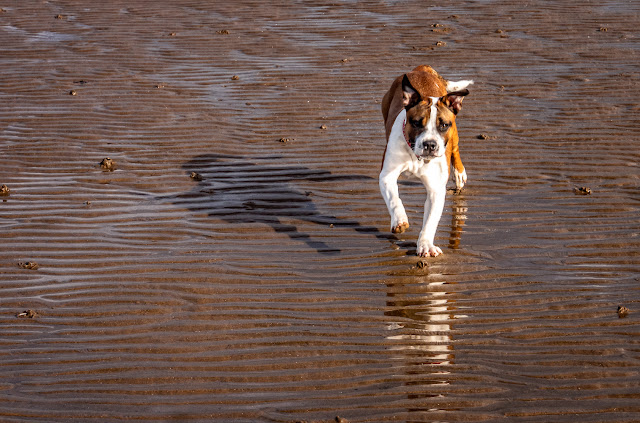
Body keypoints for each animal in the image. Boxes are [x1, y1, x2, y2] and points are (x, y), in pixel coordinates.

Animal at [378, 65, 472, 258]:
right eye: (416, 123)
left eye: (443, 125)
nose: (430, 144)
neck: (418, 157)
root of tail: (421, 69)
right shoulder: (387, 176)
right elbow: (394, 199)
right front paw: (399, 220)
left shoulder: (436, 190)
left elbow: (430, 221)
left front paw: (426, 244)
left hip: (455, 134)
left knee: (455, 148)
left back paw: (459, 173)